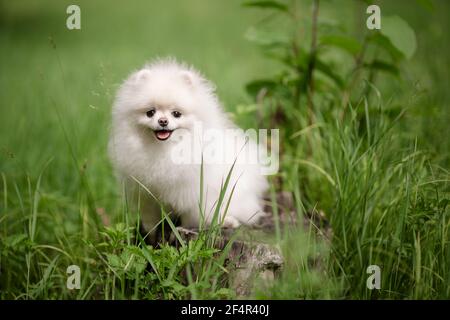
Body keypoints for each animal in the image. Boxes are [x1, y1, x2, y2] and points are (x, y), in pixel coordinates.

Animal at [109, 58, 268, 238]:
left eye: (176, 114)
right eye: (150, 112)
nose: (163, 121)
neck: (164, 149)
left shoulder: (190, 191)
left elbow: (189, 215)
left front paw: (182, 229)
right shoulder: (145, 193)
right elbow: (150, 218)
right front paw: (150, 233)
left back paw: (227, 221)